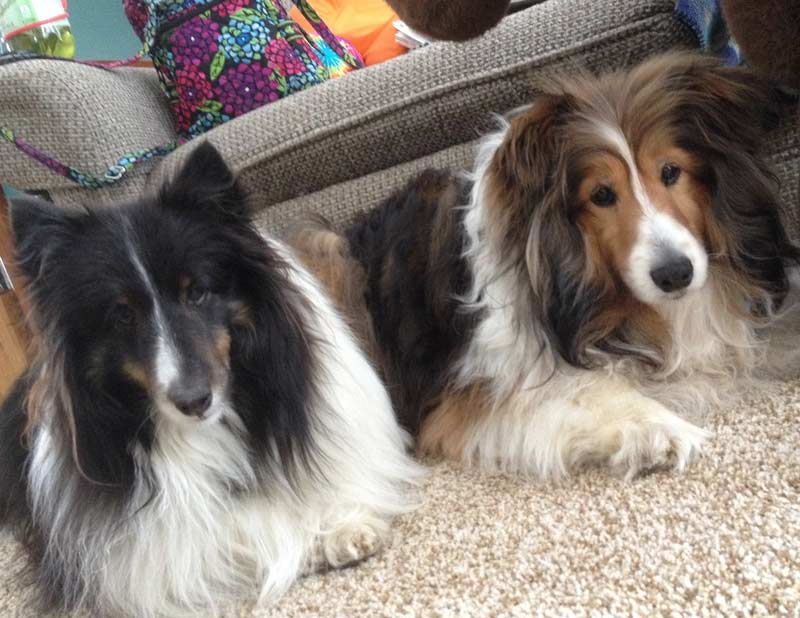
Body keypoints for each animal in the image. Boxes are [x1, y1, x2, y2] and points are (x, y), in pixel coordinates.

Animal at [291, 53, 800, 481]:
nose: (675, 274)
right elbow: (587, 387)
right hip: (328, 254)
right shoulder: (473, 391)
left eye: (671, 171)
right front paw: (655, 426)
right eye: (601, 195)